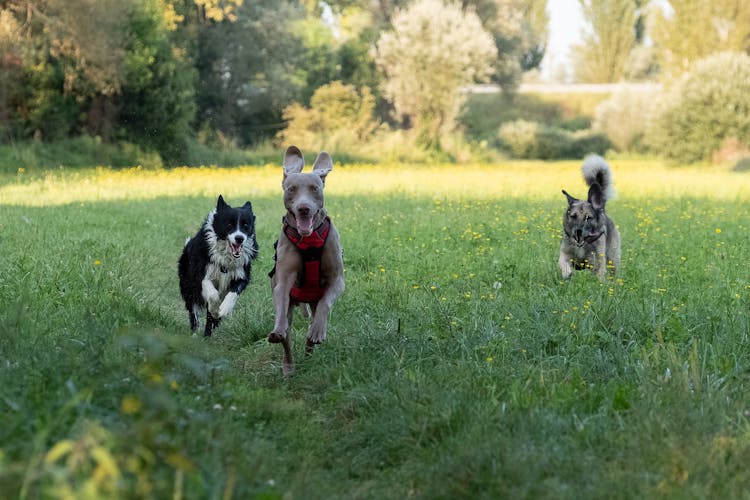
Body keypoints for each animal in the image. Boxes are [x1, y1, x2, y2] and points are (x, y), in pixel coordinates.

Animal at [178, 194, 258, 336]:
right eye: (229, 224)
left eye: (246, 225)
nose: (239, 238)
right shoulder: (201, 275)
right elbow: (213, 296)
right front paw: (215, 310)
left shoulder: (242, 275)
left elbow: (232, 294)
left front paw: (223, 309)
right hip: (188, 286)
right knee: (193, 311)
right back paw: (195, 334)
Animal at [268, 146, 346, 374]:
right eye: (292, 189)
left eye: (314, 188)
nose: (304, 208)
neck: (309, 241)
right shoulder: (283, 281)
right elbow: (281, 304)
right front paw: (278, 329)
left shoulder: (337, 280)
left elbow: (326, 305)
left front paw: (318, 331)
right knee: (287, 342)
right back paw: (288, 367)